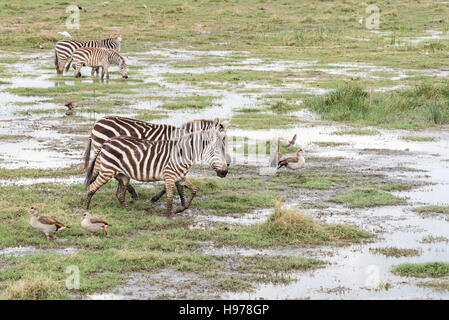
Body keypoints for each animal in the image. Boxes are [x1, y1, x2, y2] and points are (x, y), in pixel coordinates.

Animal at [84, 120, 228, 218]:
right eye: (216, 152)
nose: (225, 172)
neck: (184, 152)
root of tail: (106, 142)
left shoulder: (179, 176)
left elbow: (193, 190)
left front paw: (181, 208)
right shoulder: (169, 175)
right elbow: (170, 195)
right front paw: (169, 215)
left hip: (123, 174)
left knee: (119, 193)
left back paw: (128, 209)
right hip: (107, 170)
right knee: (92, 185)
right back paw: (86, 209)